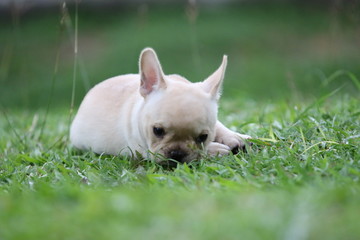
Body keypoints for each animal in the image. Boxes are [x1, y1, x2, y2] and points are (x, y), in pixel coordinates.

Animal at [70, 47, 250, 164]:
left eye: (203, 137)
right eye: (157, 131)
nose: (177, 154)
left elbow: (219, 125)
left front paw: (235, 136)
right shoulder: (145, 151)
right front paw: (216, 149)